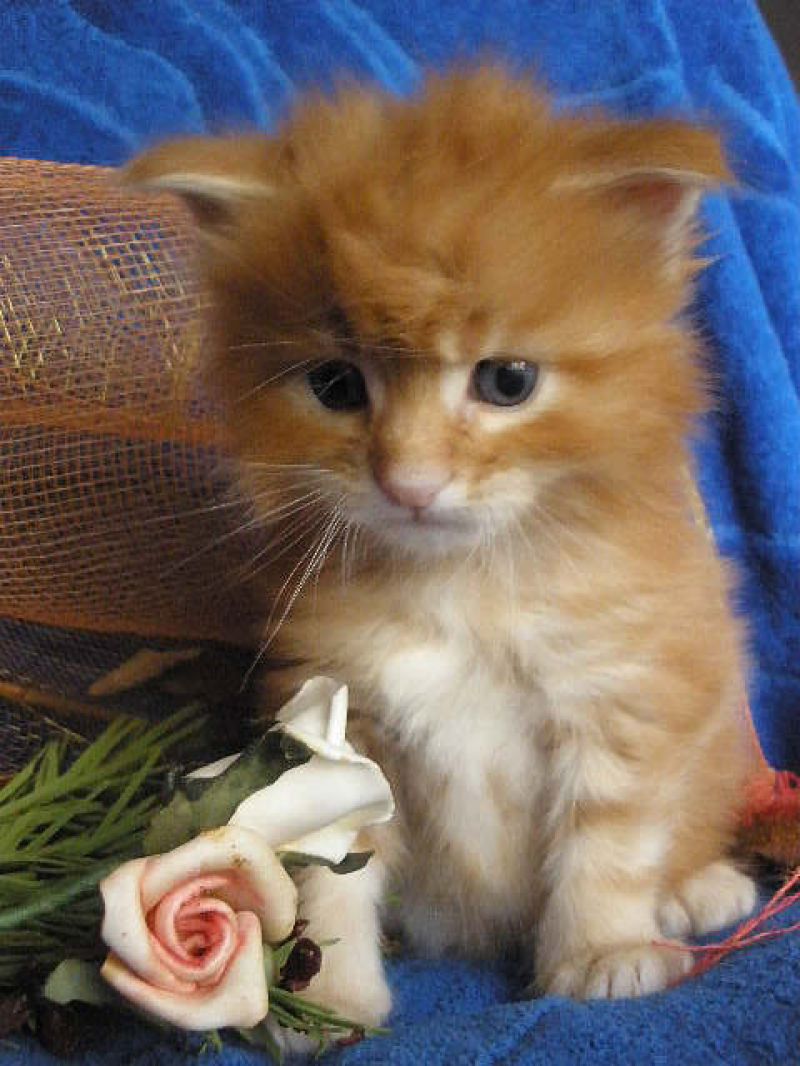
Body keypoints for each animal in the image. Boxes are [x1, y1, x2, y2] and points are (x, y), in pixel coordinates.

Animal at [125, 68, 759, 1023]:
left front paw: (601, 955)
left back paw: (698, 891)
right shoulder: (343, 724)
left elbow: (608, 845)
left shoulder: (623, 693)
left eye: (507, 381)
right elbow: (333, 871)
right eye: (336, 384)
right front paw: (333, 994)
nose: (410, 483)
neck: (461, 583)